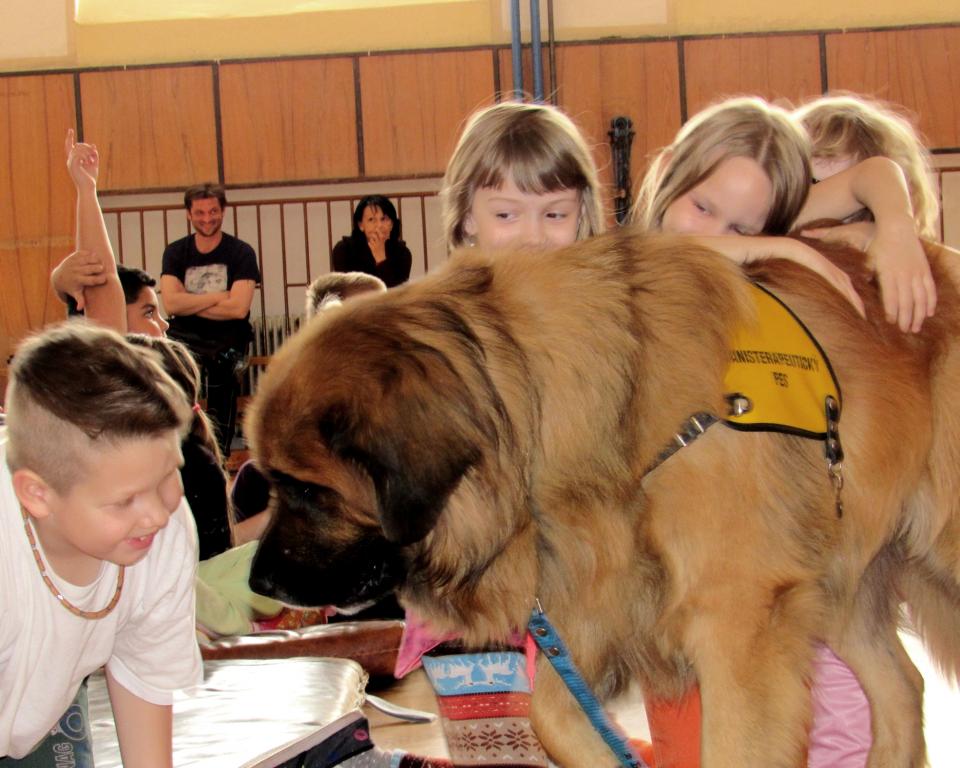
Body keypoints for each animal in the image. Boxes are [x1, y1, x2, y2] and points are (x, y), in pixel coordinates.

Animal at [247, 229, 960, 767]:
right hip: (842, 577)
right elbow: (554, 715)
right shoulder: (596, 593)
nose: (258, 583)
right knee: (902, 687)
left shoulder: (738, 621)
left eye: (310, 491)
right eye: (273, 484)